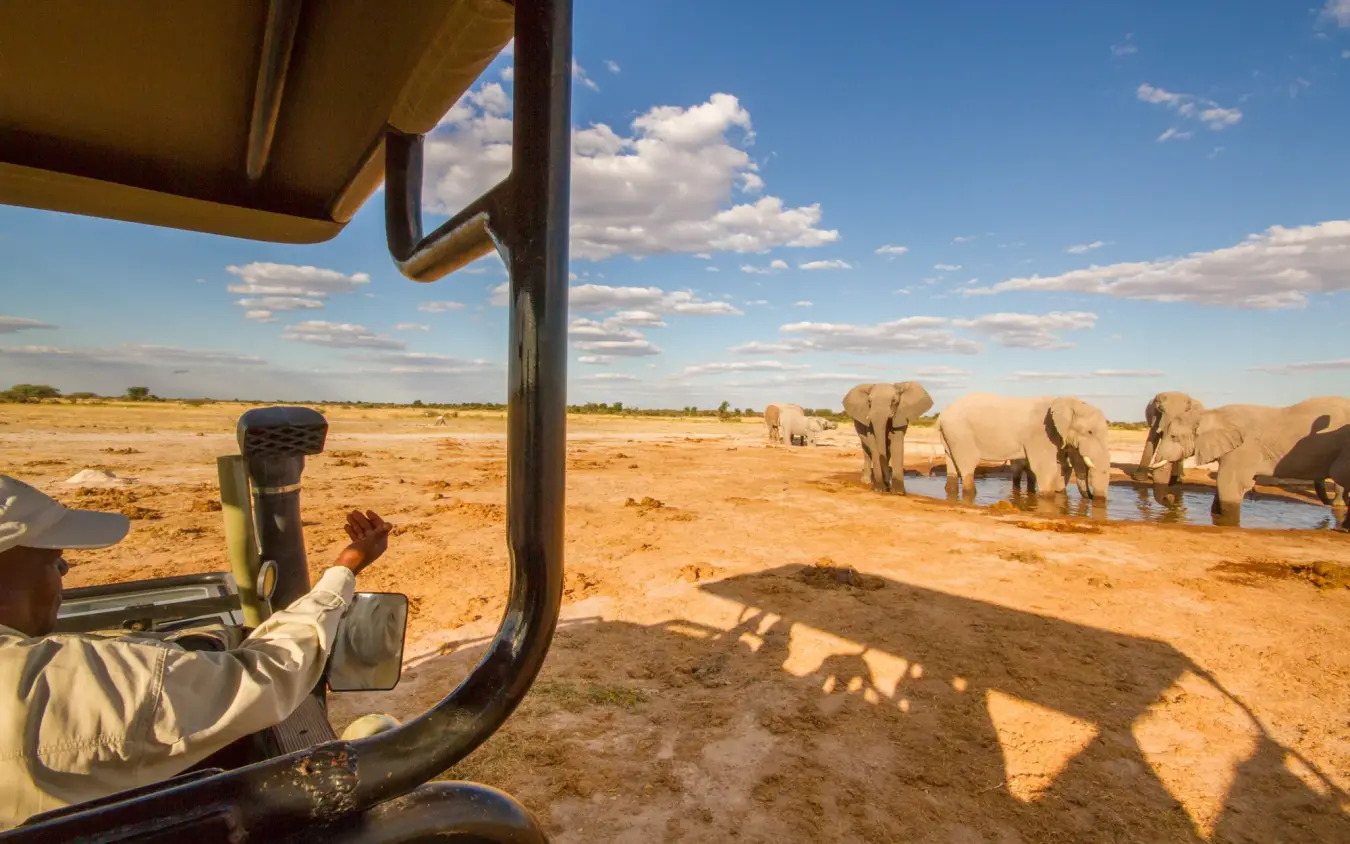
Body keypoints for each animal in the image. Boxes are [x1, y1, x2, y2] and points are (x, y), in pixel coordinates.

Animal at [938, 393, 1112, 500]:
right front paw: (1047, 498)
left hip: (951, 435)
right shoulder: (1041, 433)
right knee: (968, 463)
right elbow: (1045, 468)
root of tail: (942, 415)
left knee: (951, 463)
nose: (1092, 498)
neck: (1068, 402)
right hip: (961, 433)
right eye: (1090, 432)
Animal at [1150, 396, 1350, 527]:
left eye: (1174, 437)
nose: (1170, 498)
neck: (1210, 414)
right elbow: (1225, 485)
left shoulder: (1244, 449)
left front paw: (1228, 524)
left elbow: (1229, 484)